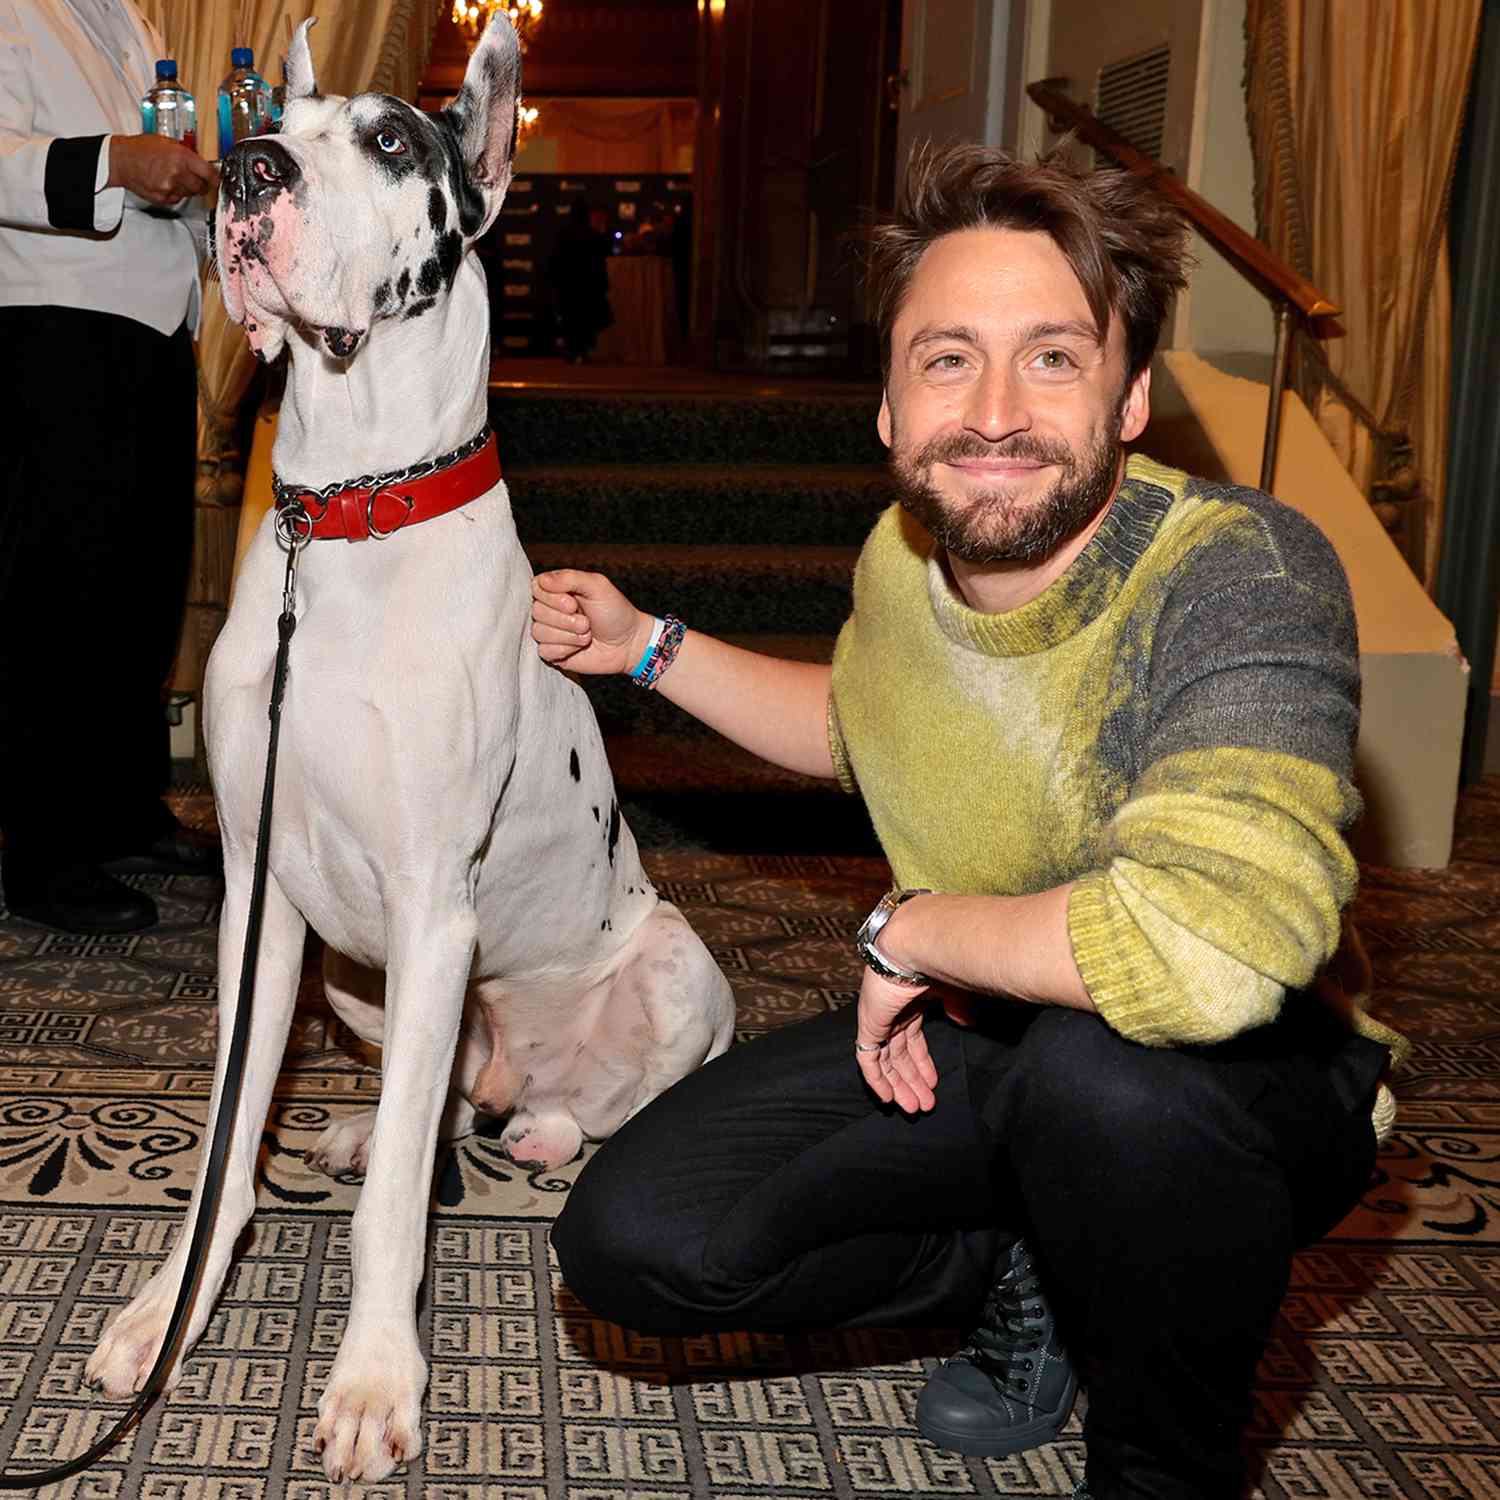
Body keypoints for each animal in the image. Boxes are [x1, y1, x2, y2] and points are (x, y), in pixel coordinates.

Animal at [86, 14, 732, 1488]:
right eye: (280, 120)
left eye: (389, 140)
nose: (246, 170)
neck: (347, 519)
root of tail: (517, 1065)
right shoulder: (260, 898)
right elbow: (229, 1136)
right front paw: (168, 1312)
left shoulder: (437, 904)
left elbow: (393, 1205)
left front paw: (377, 1377)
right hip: (358, 978)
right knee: (427, 1100)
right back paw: (366, 1117)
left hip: (674, 969)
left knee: (581, 1110)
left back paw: (543, 1126)